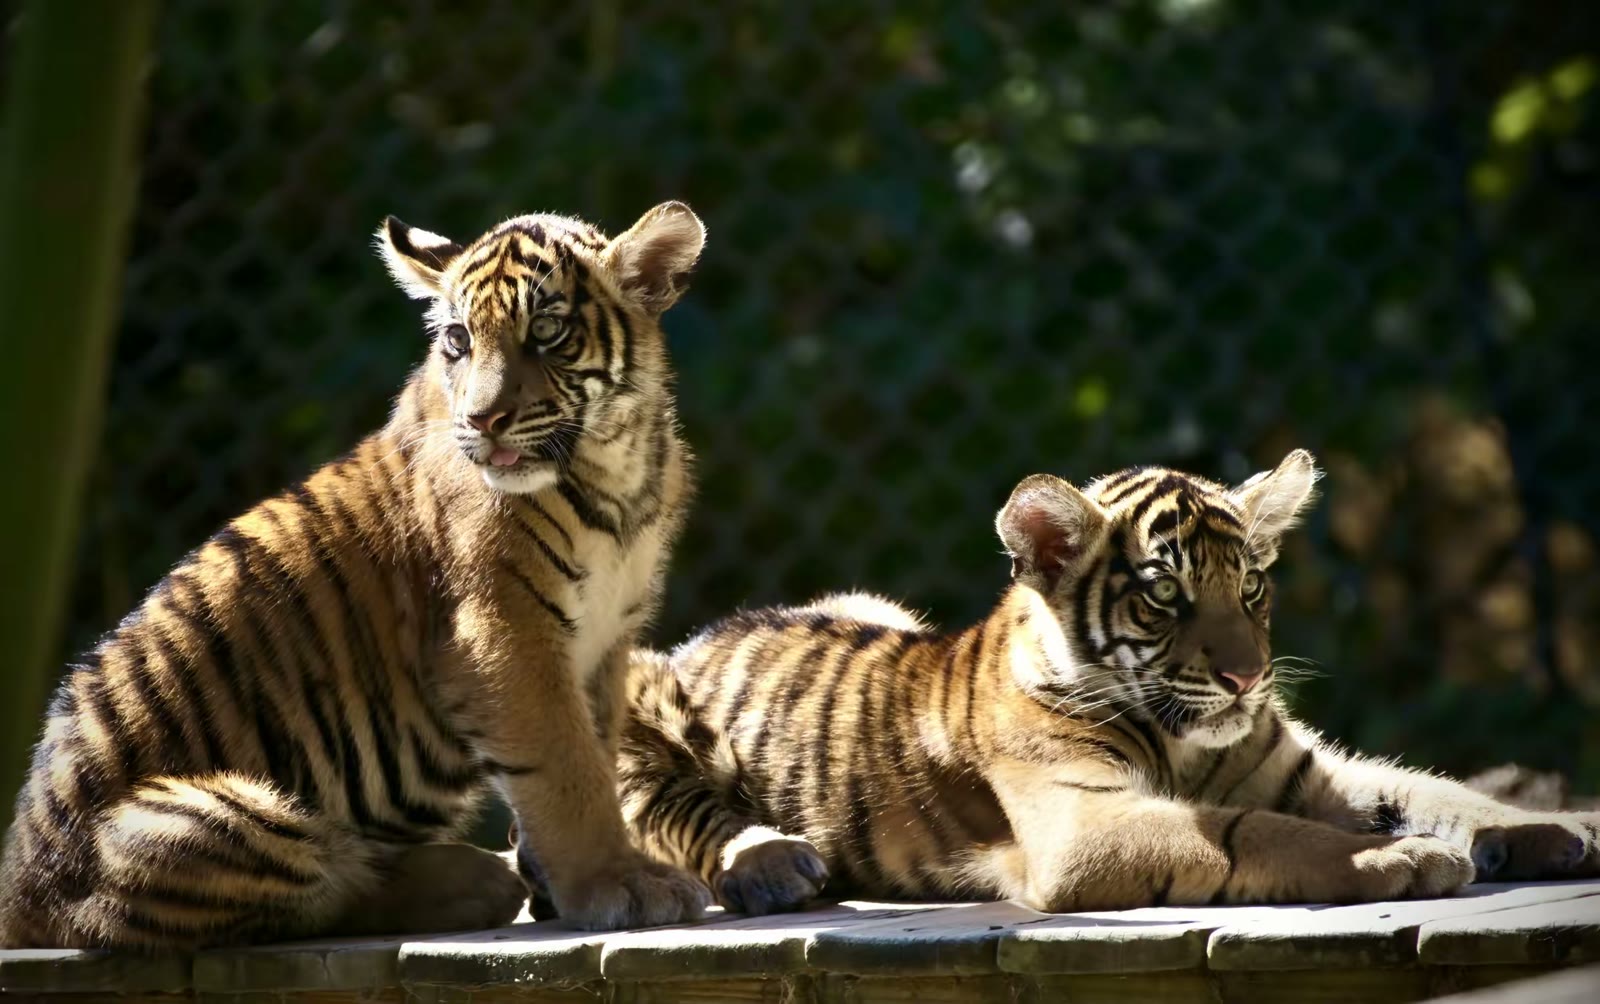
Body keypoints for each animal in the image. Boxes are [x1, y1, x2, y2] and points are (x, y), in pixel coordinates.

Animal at [0, 201, 714, 949]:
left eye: (546, 331)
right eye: (458, 340)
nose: (482, 420)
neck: (616, 465)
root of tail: (18, 893)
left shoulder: (603, 645)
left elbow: (596, 753)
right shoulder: (503, 637)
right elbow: (568, 772)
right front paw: (622, 885)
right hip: (199, 816)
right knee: (310, 888)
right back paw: (472, 883)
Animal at [605, 449, 1600, 916]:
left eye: (1251, 585)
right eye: (1164, 594)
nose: (1246, 678)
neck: (1190, 747)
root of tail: (701, 641)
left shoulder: (1310, 772)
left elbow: (1439, 789)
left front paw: (1556, 827)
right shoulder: (1082, 820)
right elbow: (1255, 833)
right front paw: (1400, 860)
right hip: (628, 699)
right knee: (673, 815)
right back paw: (775, 866)